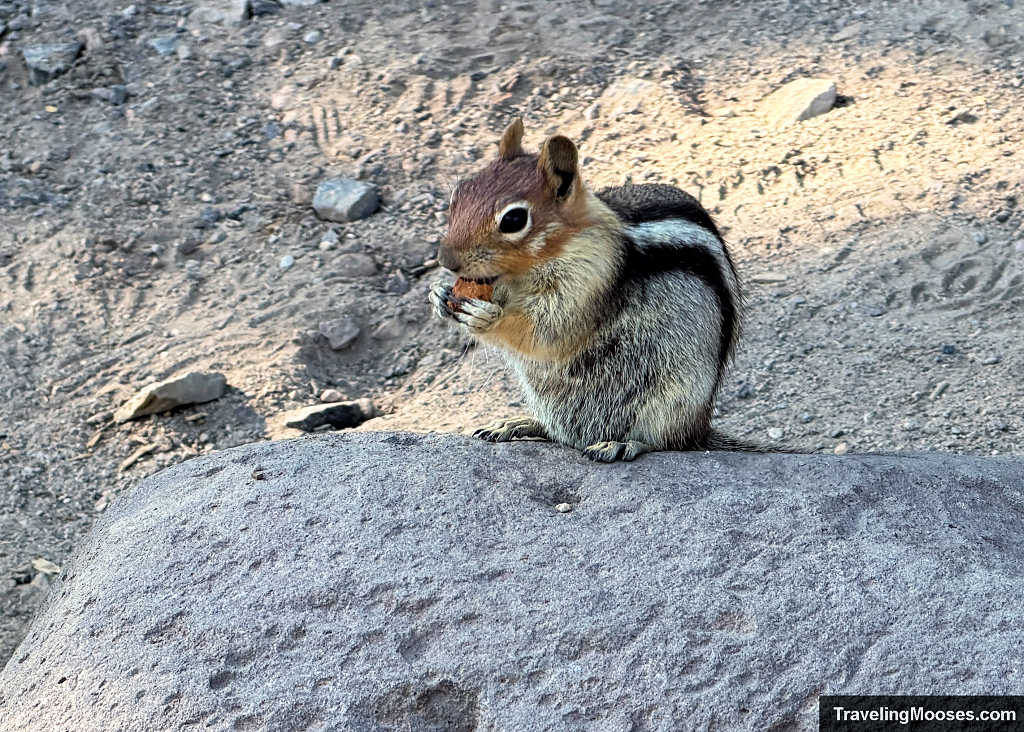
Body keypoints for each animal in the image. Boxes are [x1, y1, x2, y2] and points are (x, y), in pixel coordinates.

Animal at [430, 118, 751, 462]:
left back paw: (623, 444)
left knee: (666, 441)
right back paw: (518, 424)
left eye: (514, 219)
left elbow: (548, 332)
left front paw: (487, 318)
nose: (445, 259)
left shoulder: (591, 280)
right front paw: (439, 295)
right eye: (458, 195)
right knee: (558, 431)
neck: (525, 274)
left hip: (674, 398)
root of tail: (701, 428)